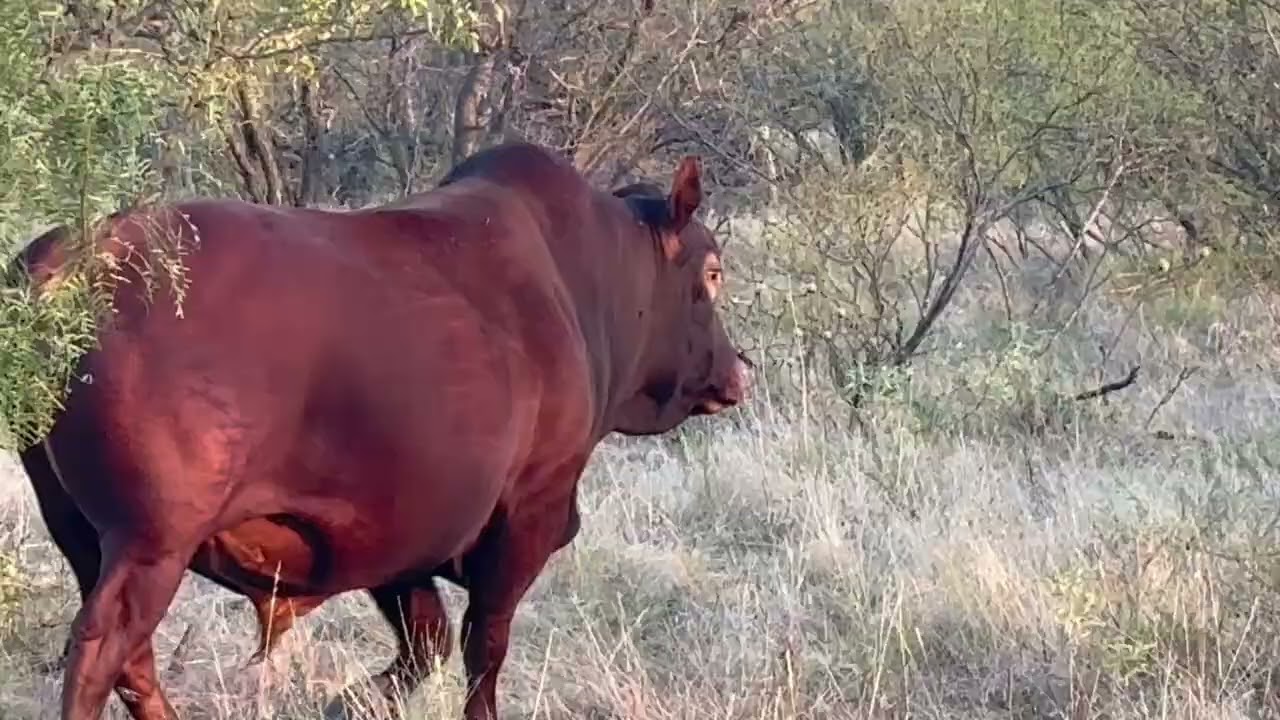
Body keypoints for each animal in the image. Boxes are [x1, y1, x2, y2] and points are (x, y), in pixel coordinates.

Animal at [9, 141, 751, 720]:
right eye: (712, 273)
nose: (738, 369)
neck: (582, 280)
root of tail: (74, 254)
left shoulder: (396, 536)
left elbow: (426, 644)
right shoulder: (529, 511)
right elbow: (485, 651)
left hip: (82, 532)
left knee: (133, 663)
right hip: (150, 544)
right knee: (101, 655)